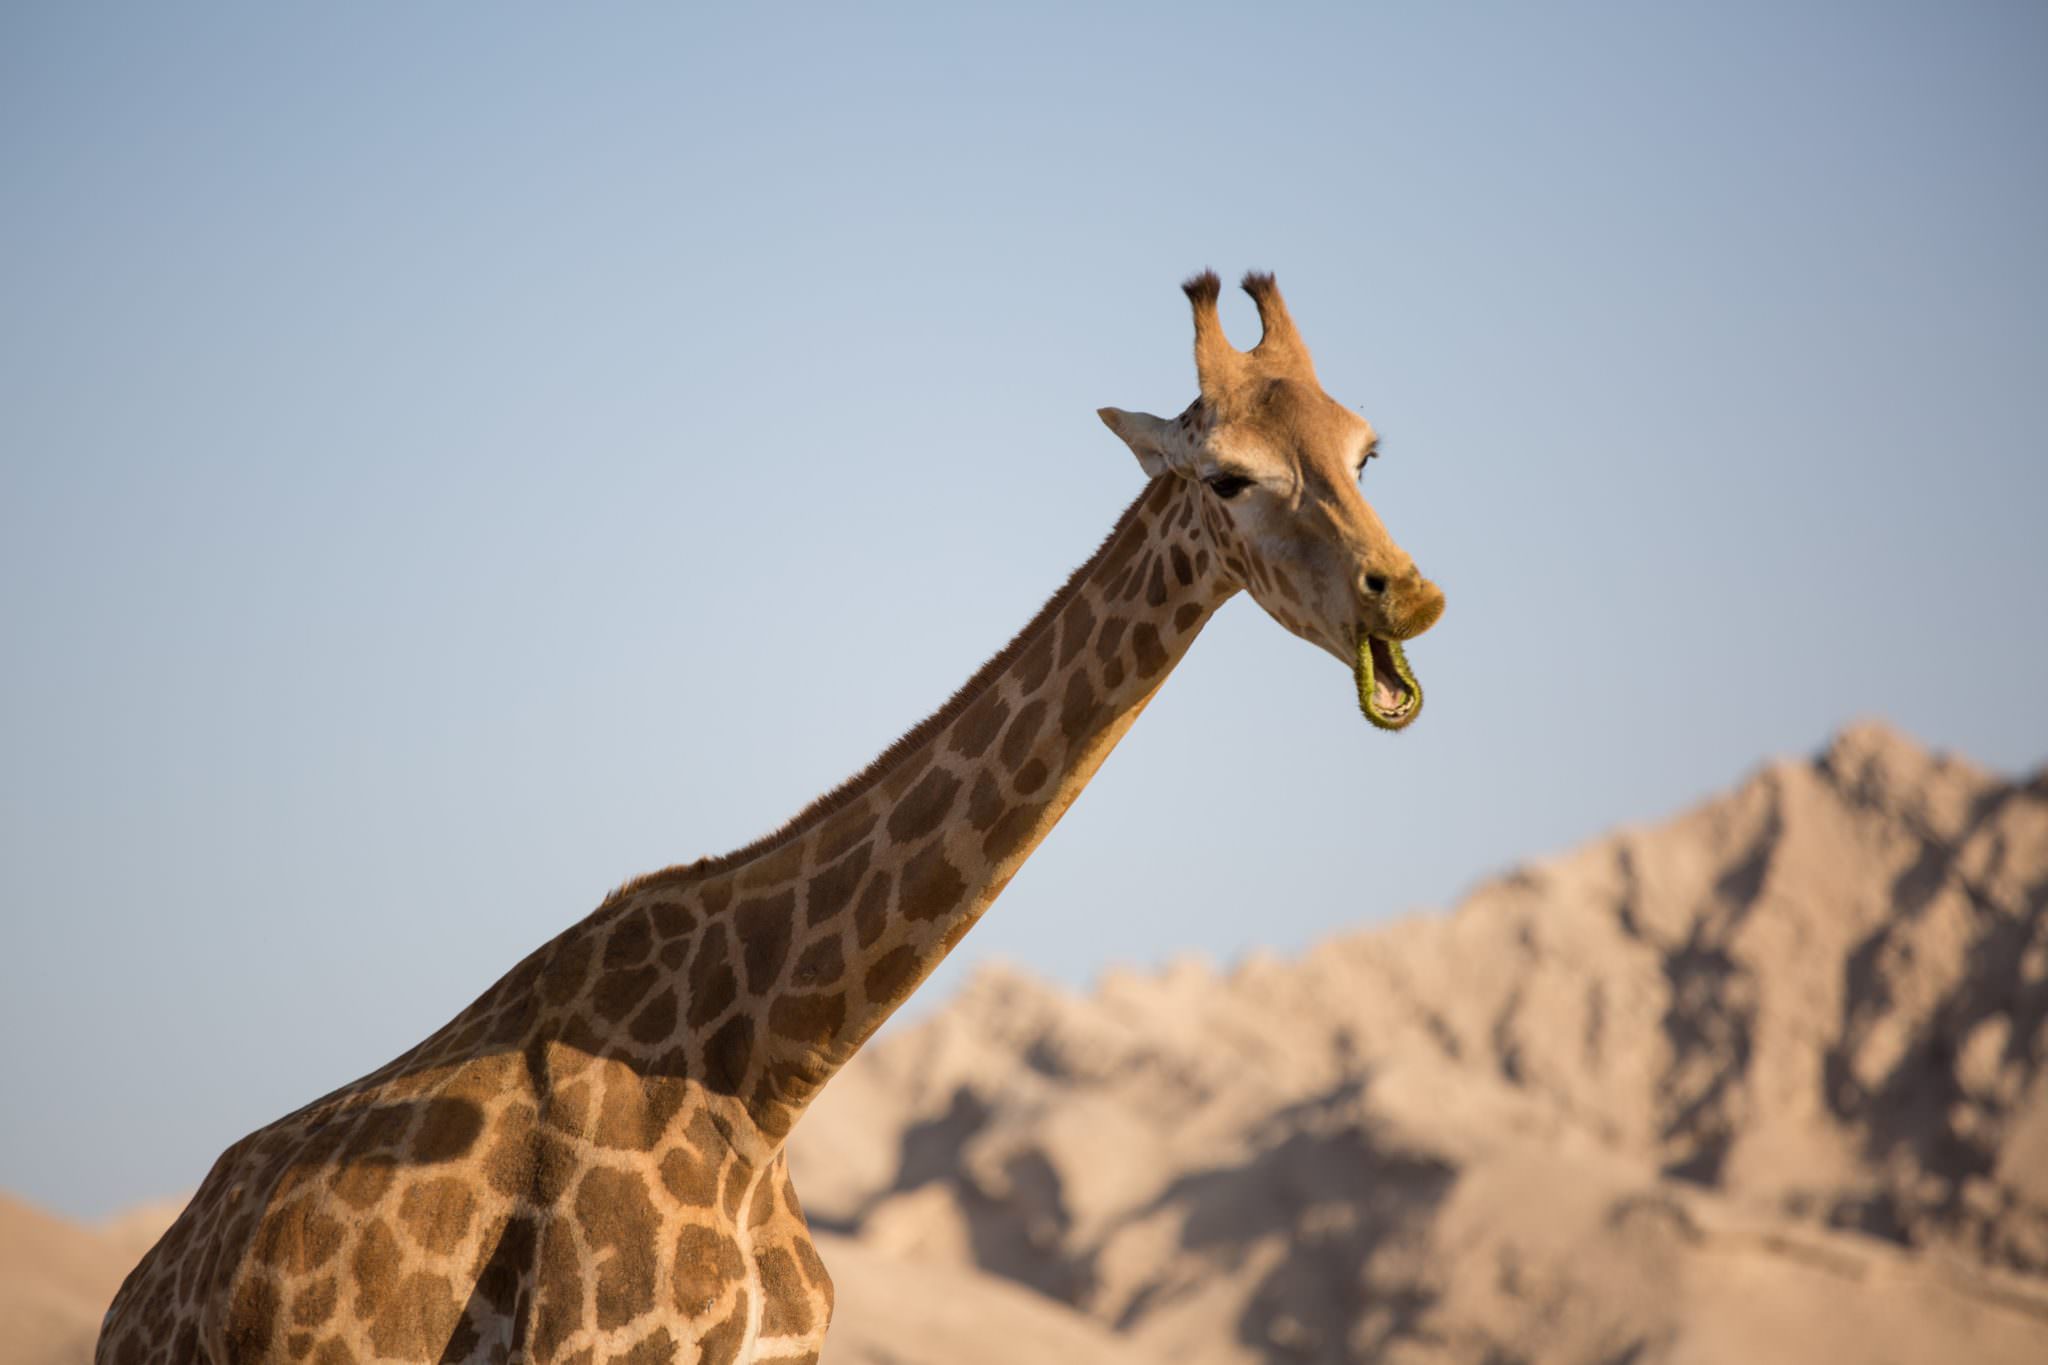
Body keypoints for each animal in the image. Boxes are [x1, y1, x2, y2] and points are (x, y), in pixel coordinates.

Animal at [99, 270, 1445, 1364]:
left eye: (1365, 452)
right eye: (1229, 478)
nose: (1409, 594)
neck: (776, 1067)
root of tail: (138, 1293)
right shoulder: (593, 1351)